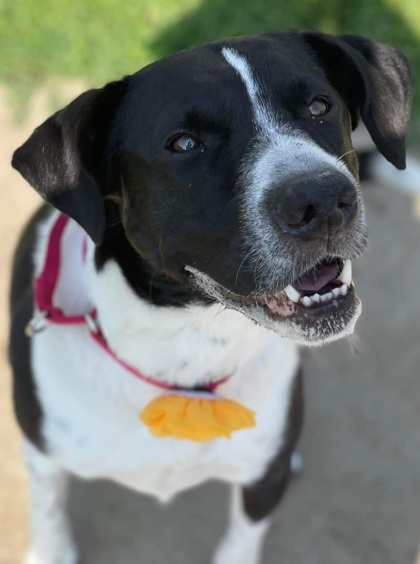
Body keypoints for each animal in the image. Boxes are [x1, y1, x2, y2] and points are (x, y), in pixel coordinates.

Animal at [8, 30, 412, 564]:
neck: (190, 350)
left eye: (319, 106)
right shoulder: (44, 456)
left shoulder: (262, 482)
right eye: (184, 143)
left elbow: (241, 539)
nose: (324, 199)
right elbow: (51, 519)